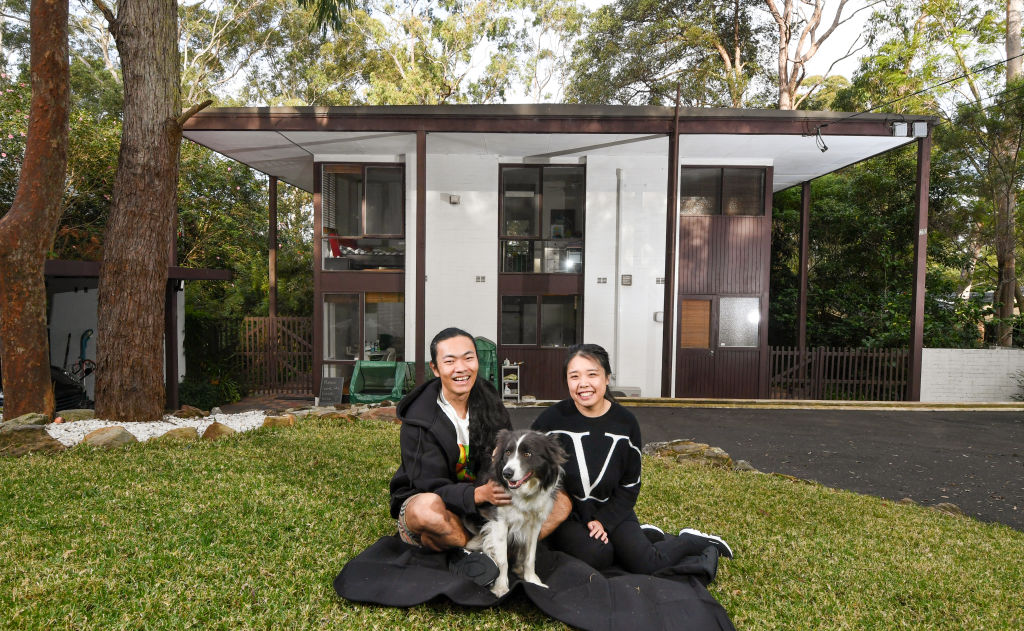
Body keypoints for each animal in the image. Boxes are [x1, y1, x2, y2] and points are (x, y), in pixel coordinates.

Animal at [466, 428, 569, 598]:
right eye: (507, 452)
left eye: (528, 454)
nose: (507, 473)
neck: (523, 491)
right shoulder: (499, 520)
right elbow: (502, 560)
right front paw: (500, 588)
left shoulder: (535, 523)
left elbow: (530, 555)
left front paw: (532, 581)